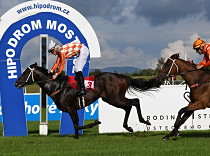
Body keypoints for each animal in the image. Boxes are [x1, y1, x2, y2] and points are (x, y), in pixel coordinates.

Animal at [14, 62, 160, 138]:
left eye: (26, 72)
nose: (16, 83)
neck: (57, 86)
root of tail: (122, 76)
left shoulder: (71, 108)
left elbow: (77, 124)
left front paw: (95, 123)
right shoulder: (71, 109)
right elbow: (75, 124)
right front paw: (76, 136)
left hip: (115, 98)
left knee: (135, 101)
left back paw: (144, 121)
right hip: (111, 99)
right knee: (129, 106)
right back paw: (128, 127)